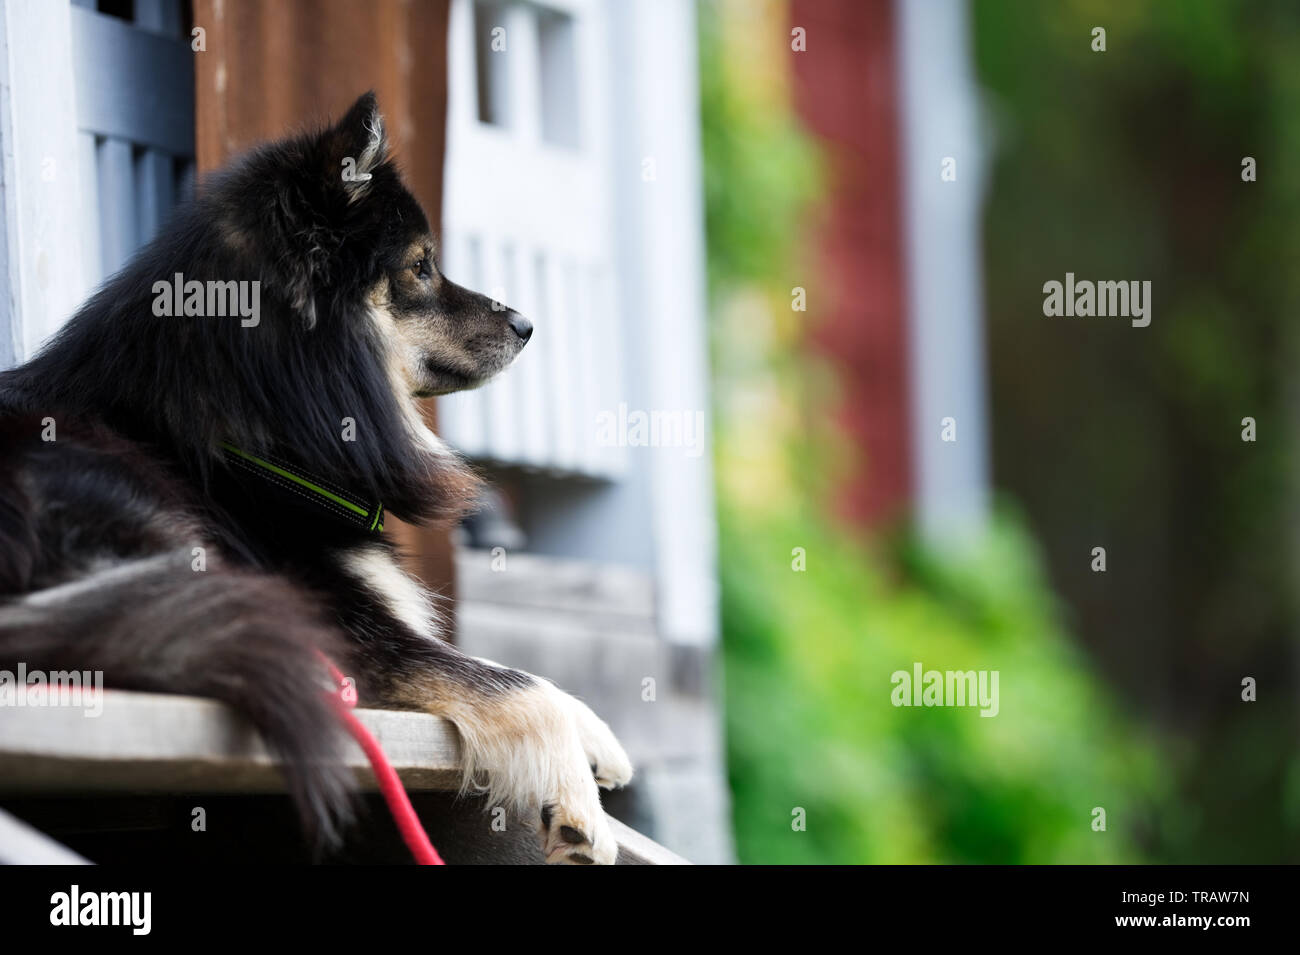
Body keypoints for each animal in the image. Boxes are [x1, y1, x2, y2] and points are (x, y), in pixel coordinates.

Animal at [0, 93, 629, 862]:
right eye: (421, 266)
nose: (526, 323)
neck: (252, 439)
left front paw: (597, 738)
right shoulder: (341, 627)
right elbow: (512, 681)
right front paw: (578, 800)